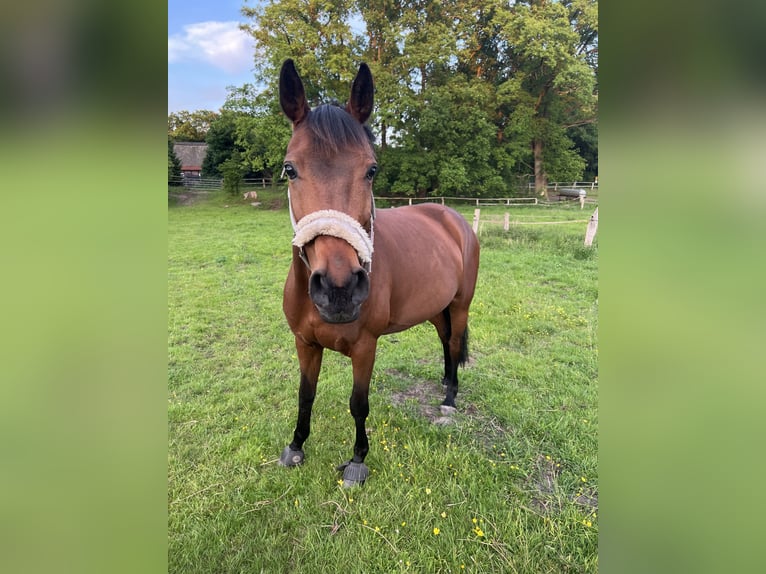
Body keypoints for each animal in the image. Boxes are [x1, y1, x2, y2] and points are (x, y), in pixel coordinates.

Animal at [276, 60, 480, 488]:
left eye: (371, 170)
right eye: (290, 169)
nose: (339, 289)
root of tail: (451, 217)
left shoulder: (365, 347)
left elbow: (358, 403)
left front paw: (357, 460)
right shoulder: (305, 343)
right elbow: (306, 394)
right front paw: (296, 446)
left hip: (460, 305)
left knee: (455, 343)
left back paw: (449, 399)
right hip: (436, 309)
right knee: (445, 342)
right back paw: (445, 383)